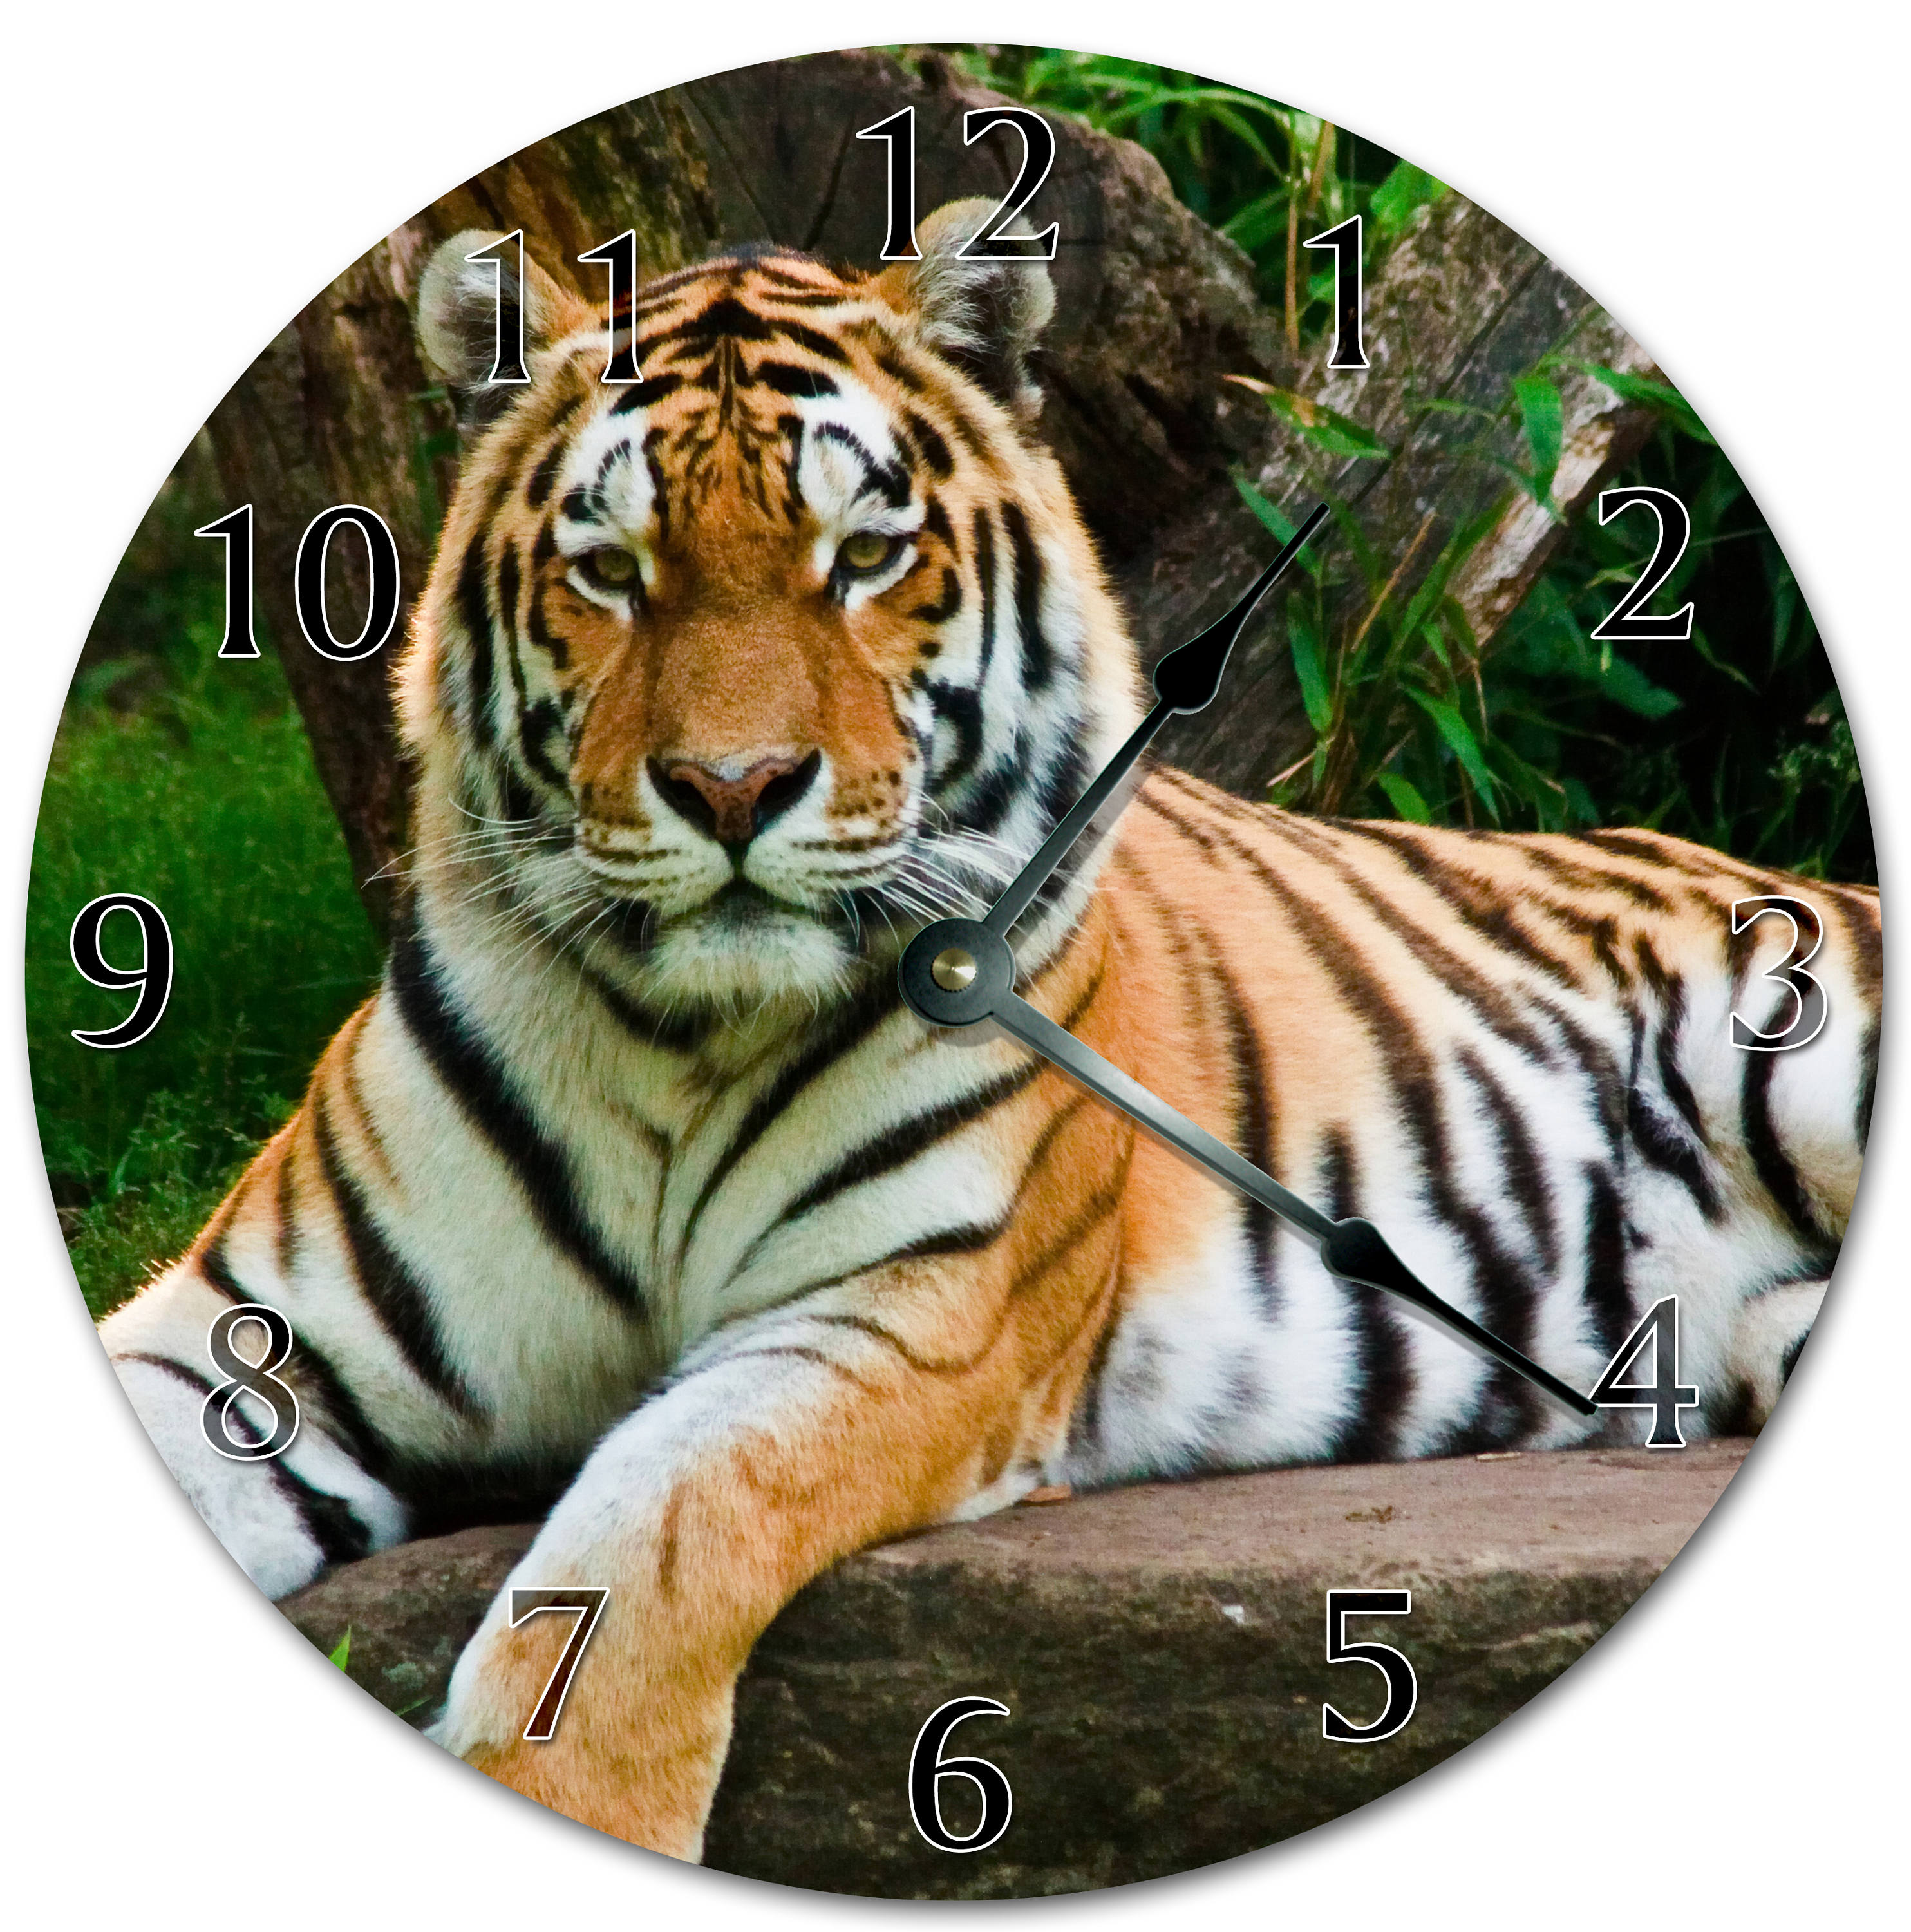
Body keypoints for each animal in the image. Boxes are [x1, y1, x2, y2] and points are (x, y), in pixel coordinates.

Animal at [97, 198, 1880, 1861]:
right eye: (612, 573)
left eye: (862, 558)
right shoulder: (253, 1325)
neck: (675, 1036)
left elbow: (650, 1537)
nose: (733, 789)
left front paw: (574, 1801)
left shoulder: (907, 1320)